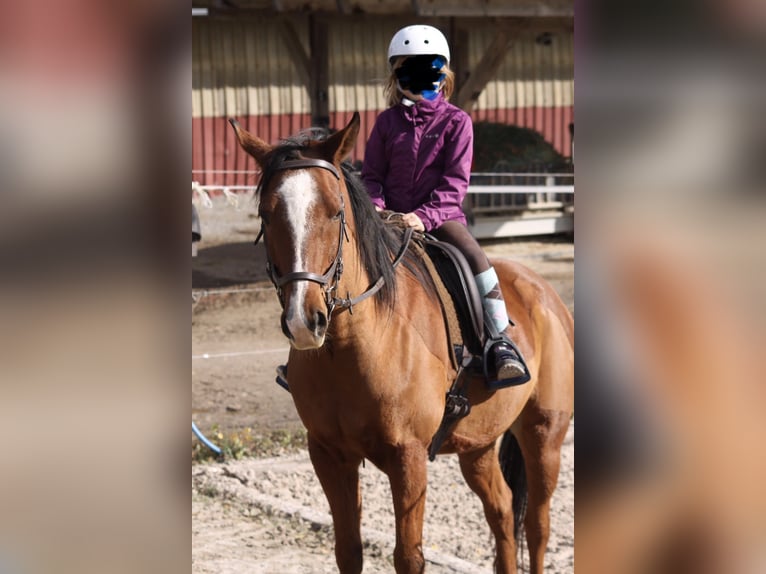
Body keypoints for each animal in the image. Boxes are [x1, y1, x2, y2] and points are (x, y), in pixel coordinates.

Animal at [229, 112, 573, 574]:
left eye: (335, 212)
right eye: (266, 215)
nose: (304, 321)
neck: (351, 347)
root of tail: (544, 291)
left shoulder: (408, 458)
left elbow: (408, 557)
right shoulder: (328, 454)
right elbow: (348, 551)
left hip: (544, 435)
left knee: (536, 525)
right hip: (479, 445)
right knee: (501, 512)